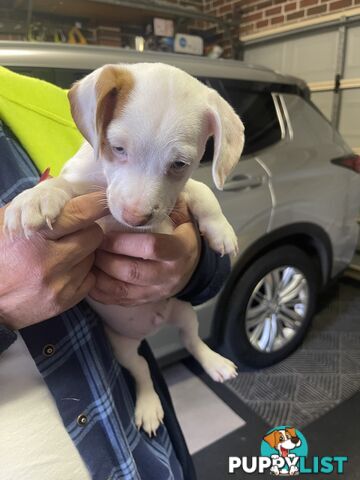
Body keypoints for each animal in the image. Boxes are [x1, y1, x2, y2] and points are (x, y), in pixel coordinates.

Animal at [4, 62, 245, 436]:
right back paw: (148, 405)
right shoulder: (82, 188)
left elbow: (202, 188)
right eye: (117, 148)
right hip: (121, 346)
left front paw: (220, 230)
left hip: (184, 312)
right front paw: (35, 198)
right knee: (143, 369)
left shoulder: (178, 194)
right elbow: (61, 185)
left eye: (179, 164)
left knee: (191, 340)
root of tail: (153, 327)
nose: (135, 218)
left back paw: (214, 362)